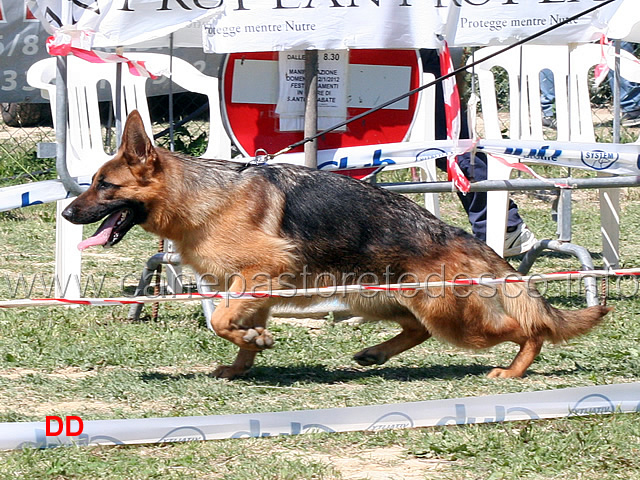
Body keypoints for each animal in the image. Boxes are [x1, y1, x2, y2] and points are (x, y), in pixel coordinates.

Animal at [63, 111, 608, 378]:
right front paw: (245, 358)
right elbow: (235, 328)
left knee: (528, 329)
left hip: (454, 319)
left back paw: (513, 371)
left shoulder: (260, 272)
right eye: (92, 183)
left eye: (105, 186)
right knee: (416, 329)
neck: (197, 196)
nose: (68, 213)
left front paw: (250, 343)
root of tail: (455, 234)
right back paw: (376, 355)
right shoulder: (257, 289)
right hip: (379, 299)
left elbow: (220, 320)